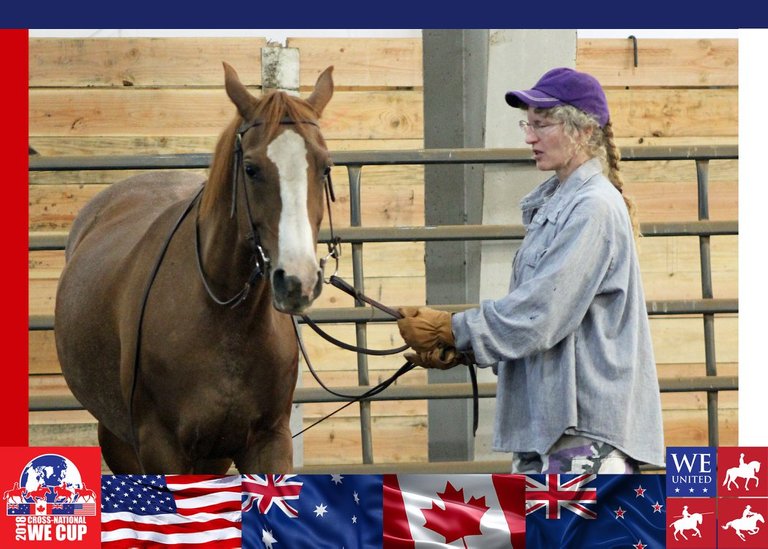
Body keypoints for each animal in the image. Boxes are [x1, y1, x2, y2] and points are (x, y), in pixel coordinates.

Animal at [55, 62, 334, 474]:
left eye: (325, 167)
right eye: (250, 168)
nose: (298, 280)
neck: (226, 318)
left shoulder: (269, 443)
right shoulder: (160, 448)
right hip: (118, 438)